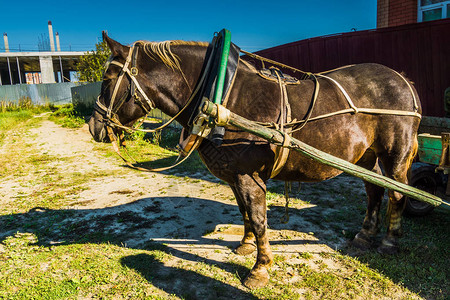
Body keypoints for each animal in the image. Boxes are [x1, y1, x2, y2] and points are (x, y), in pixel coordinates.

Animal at [89, 32, 422, 288]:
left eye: (108, 79)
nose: (94, 127)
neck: (221, 95)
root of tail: (404, 81)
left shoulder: (249, 176)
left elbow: (260, 218)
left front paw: (260, 269)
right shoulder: (235, 176)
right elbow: (245, 212)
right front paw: (246, 245)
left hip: (395, 155)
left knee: (397, 193)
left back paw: (389, 241)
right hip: (366, 156)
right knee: (373, 190)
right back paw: (364, 235)